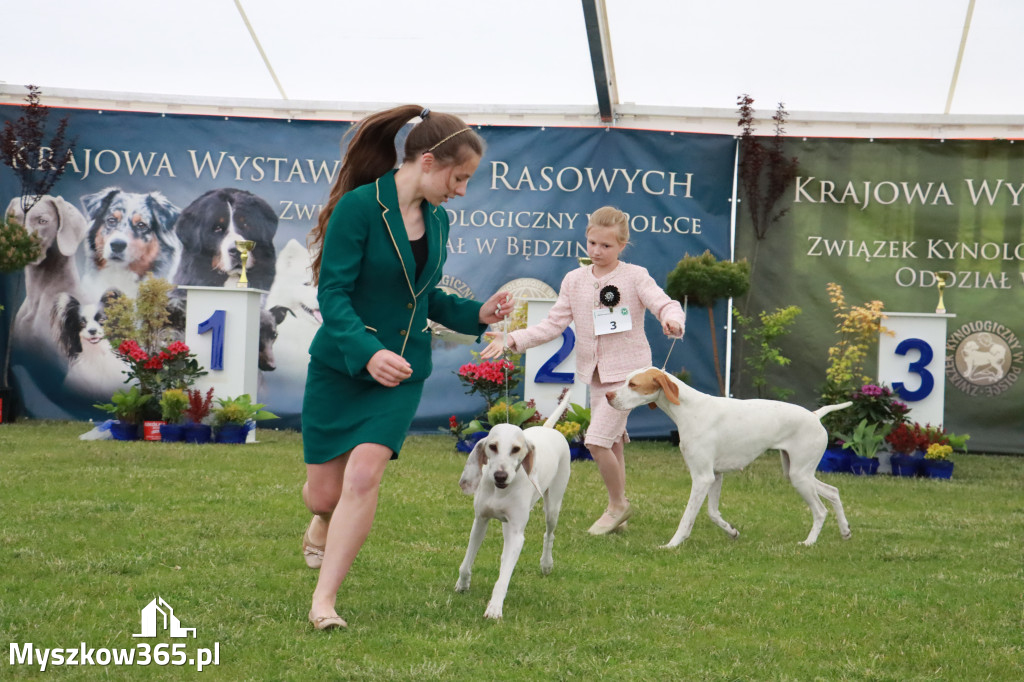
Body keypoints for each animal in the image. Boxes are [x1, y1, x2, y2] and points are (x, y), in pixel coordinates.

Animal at [458, 391, 573, 618]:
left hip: (553, 506)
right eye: (492, 446)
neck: (500, 491)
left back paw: (546, 564)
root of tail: (547, 428)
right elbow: (466, 562)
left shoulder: (518, 533)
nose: (500, 476)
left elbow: (503, 579)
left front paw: (494, 608)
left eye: (516, 449)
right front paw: (463, 584)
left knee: (549, 534)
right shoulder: (480, 521)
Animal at [606, 366, 856, 548]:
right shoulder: (715, 476)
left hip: (800, 477)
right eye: (626, 380)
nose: (607, 395)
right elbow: (713, 513)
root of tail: (815, 415)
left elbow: (687, 518)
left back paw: (809, 542)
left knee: (821, 510)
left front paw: (672, 545)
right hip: (797, 473)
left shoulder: (702, 477)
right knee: (833, 492)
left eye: (633, 384)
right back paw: (845, 531)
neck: (689, 410)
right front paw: (732, 532)